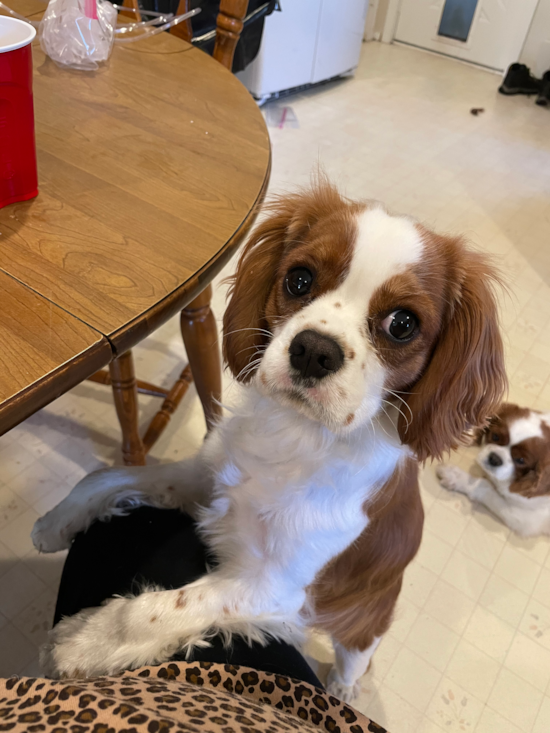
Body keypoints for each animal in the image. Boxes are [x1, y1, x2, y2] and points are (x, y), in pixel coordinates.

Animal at [32, 180, 506, 700]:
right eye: (299, 279)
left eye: (402, 324)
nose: (314, 350)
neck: (299, 435)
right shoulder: (206, 478)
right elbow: (107, 477)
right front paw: (57, 521)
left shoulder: (274, 589)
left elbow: (155, 610)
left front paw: (85, 641)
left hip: (365, 618)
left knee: (357, 654)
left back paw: (343, 688)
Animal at [440, 400, 550, 536]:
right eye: (495, 436)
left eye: (521, 460)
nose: (495, 459)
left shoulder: (526, 519)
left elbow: (484, 485)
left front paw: (457, 477)